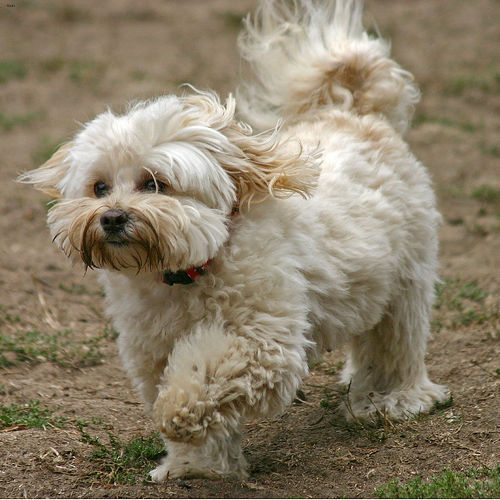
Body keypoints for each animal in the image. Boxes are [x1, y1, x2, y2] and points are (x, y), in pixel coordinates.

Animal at [19, 0, 449, 481]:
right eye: (98, 187)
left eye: (154, 184)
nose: (112, 218)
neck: (188, 272)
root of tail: (357, 113)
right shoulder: (152, 351)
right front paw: (197, 465)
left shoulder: (263, 342)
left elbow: (200, 380)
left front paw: (177, 413)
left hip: (407, 278)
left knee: (397, 343)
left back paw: (392, 399)